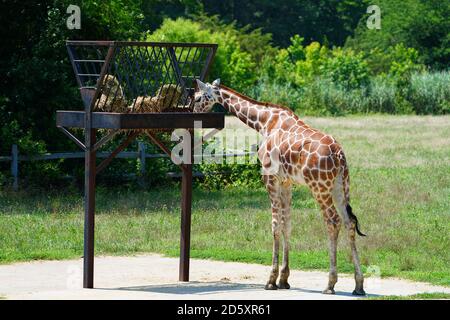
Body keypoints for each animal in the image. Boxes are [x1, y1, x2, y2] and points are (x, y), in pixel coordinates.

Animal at [192, 79, 366, 294]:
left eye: (197, 98)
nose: (192, 113)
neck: (264, 122)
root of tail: (340, 155)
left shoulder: (270, 178)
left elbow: (275, 225)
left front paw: (271, 280)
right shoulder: (286, 182)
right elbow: (287, 225)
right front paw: (284, 279)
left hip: (320, 187)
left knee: (333, 221)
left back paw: (330, 284)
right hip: (341, 186)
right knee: (349, 222)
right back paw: (359, 285)